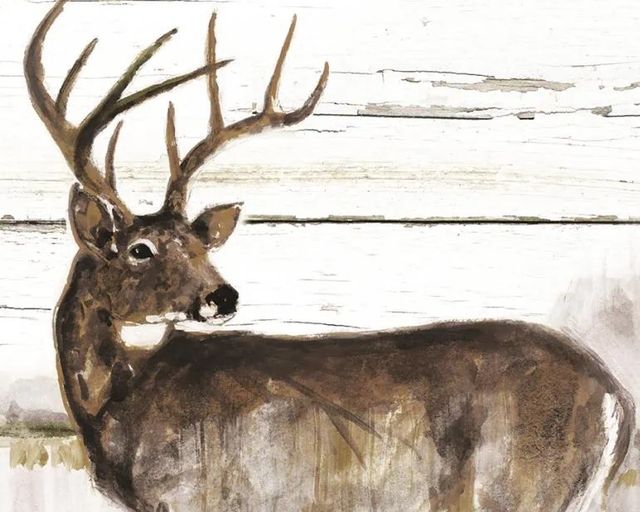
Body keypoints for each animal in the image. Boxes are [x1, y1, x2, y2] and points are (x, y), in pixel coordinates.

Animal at [25, 1, 634, 511]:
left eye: (199, 244)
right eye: (140, 249)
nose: (224, 296)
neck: (118, 407)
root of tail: (617, 399)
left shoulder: (207, 496)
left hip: (518, 491)